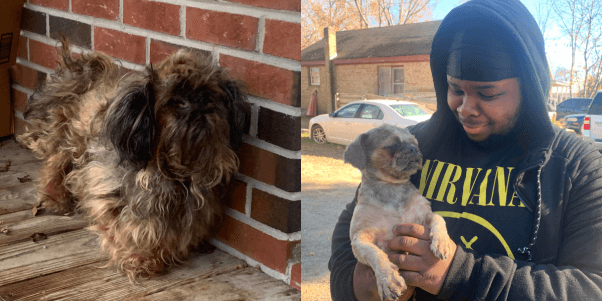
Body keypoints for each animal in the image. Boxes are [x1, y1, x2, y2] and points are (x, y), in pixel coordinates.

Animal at [18, 39, 248, 278]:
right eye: (175, 102)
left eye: (210, 93)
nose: (201, 103)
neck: (170, 167)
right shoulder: (109, 193)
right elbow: (130, 228)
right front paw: (136, 258)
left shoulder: (187, 209)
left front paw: (156, 255)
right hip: (72, 142)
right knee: (54, 164)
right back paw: (55, 198)